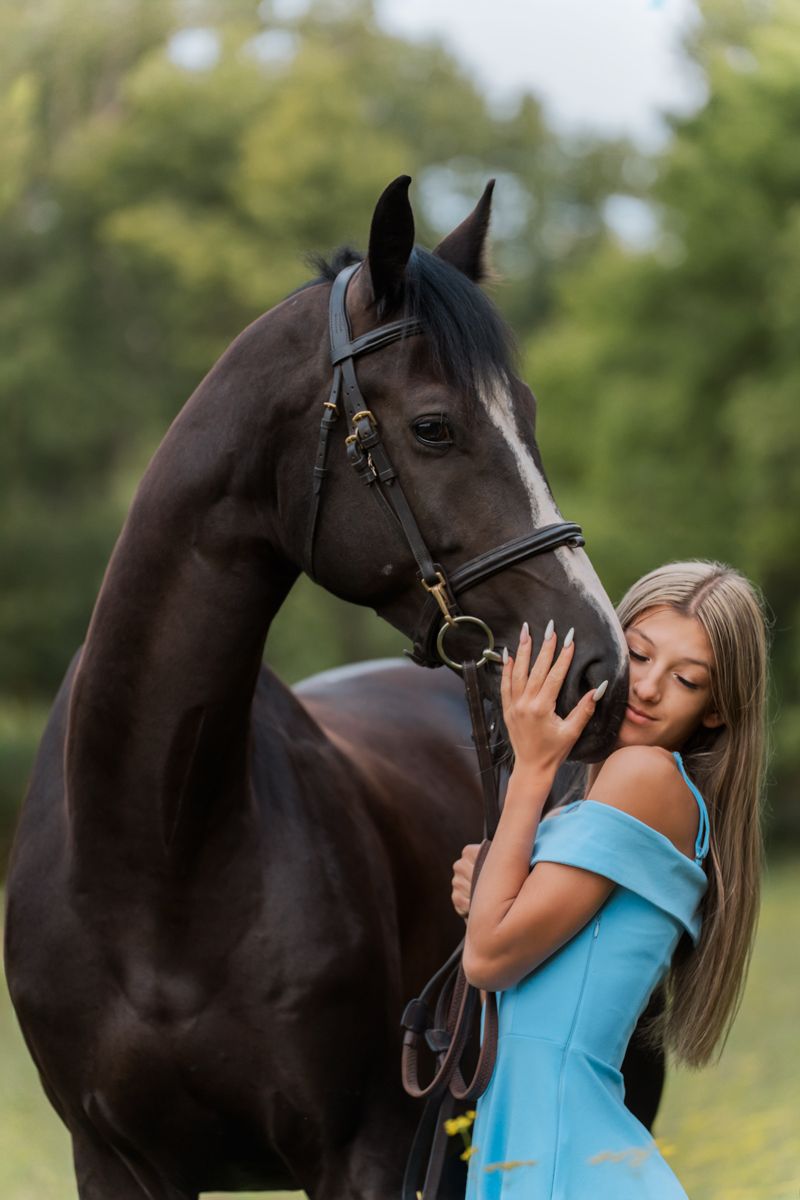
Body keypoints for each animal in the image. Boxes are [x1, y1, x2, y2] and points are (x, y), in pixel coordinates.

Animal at [4, 176, 632, 1199]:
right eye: (433, 427)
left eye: (530, 416)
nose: (603, 668)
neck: (156, 850)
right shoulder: (114, 1163)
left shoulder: (360, 1152)